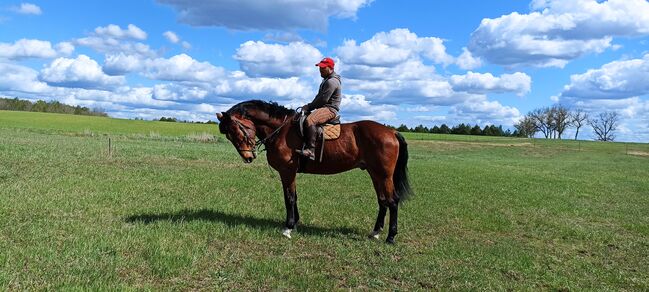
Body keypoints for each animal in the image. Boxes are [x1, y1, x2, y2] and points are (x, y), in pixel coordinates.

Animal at [215, 99, 412, 243]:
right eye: (228, 135)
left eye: (237, 130)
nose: (248, 157)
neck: (282, 131)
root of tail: (391, 132)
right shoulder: (290, 173)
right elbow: (294, 197)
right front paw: (295, 224)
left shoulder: (287, 171)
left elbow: (289, 198)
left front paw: (288, 227)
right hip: (375, 174)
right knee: (382, 201)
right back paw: (375, 232)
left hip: (384, 175)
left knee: (392, 201)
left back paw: (390, 237)